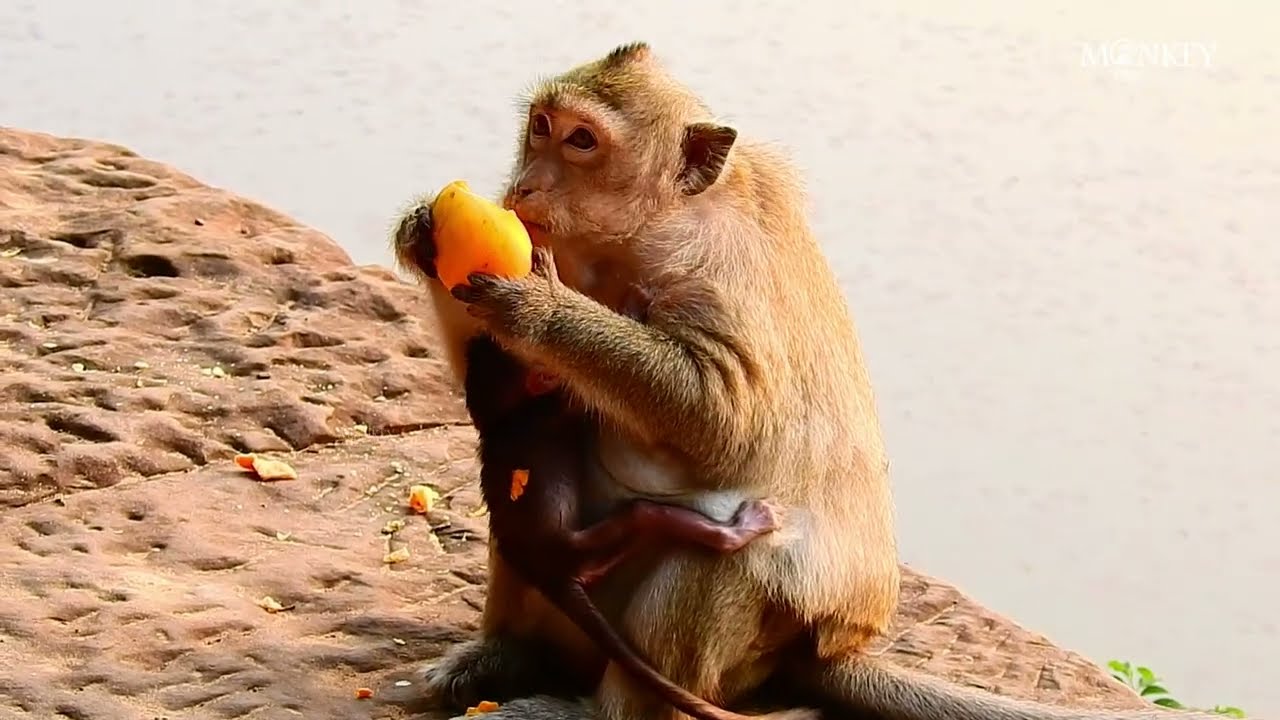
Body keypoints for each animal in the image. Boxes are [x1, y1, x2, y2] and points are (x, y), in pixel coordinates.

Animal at [460, 313, 817, 720]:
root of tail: (547, 575)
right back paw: (740, 530)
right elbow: (582, 403)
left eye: (489, 348)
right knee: (643, 514)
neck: (506, 418)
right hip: (584, 549)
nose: (480, 337)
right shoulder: (551, 410)